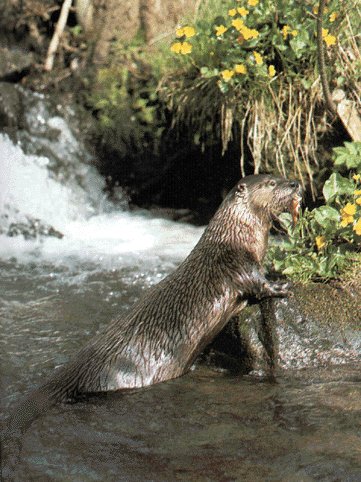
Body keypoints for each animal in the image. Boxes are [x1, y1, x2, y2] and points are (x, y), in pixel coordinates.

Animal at [2, 174, 300, 478]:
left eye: (281, 177)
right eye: (271, 182)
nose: (295, 185)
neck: (236, 237)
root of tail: (77, 369)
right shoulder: (237, 263)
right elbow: (258, 284)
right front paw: (282, 286)